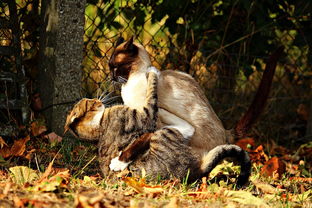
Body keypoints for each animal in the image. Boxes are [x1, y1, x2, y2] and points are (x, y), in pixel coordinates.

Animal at [64, 70, 251, 186]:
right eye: (90, 102)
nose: (97, 99)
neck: (99, 126)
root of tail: (195, 170)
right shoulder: (145, 116)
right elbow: (151, 95)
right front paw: (152, 74)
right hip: (163, 135)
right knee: (185, 126)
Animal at [108, 37, 282, 158]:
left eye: (115, 67)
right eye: (110, 67)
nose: (111, 77)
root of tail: (226, 132)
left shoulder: (152, 122)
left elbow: (137, 144)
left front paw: (119, 162)